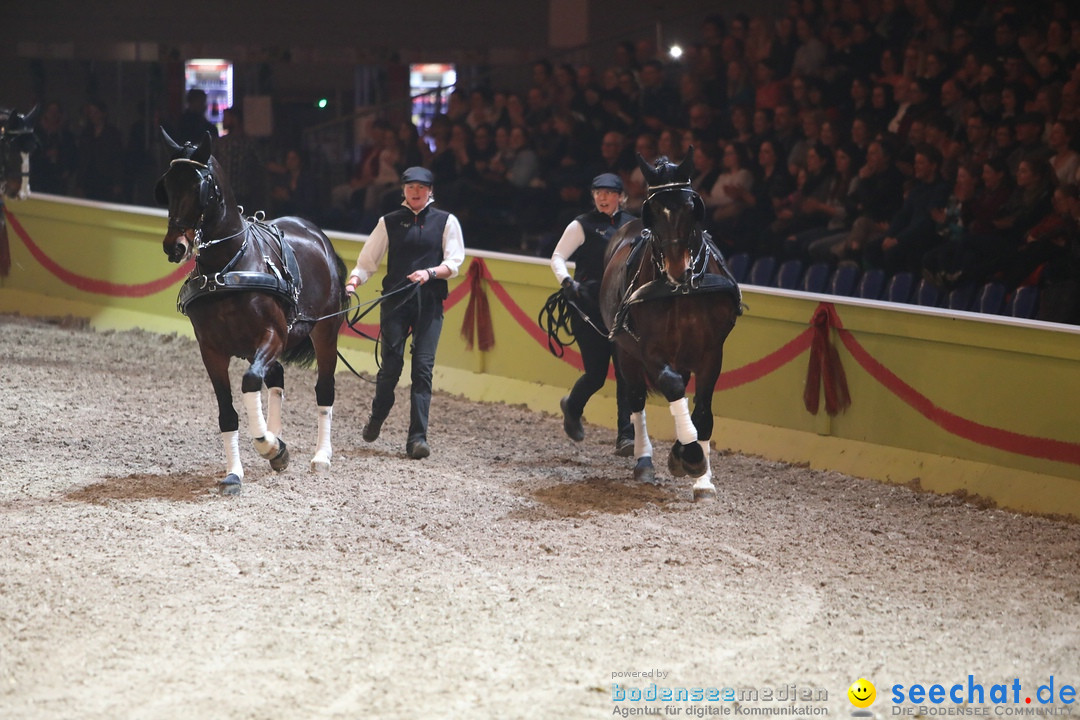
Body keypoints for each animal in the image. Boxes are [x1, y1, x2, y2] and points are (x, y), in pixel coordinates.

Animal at [156, 126, 345, 492]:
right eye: (167, 185)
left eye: (200, 187)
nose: (175, 247)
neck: (228, 267)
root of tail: (317, 235)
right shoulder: (212, 350)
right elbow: (227, 412)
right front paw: (237, 471)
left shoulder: (272, 336)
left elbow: (249, 382)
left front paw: (269, 446)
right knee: (276, 377)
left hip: (325, 332)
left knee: (323, 390)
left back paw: (320, 456)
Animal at [600, 152, 743, 500]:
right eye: (652, 211)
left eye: (692, 206)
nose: (678, 268)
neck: (682, 291)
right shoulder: (648, 350)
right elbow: (673, 387)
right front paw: (689, 455)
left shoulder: (711, 352)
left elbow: (702, 411)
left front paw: (700, 475)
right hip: (626, 353)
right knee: (636, 400)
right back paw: (643, 460)